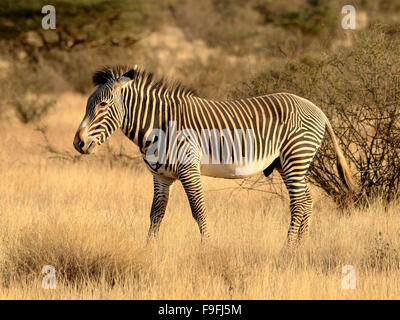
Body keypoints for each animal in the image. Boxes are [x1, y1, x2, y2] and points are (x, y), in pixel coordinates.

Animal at [72, 63, 354, 246]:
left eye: (103, 105)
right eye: (87, 104)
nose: (78, 143)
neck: (159, 124)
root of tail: (316, 108)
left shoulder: (188, 168)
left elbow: (198, 210)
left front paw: (207, 249)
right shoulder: (161, 176)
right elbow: (155, 215)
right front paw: (148, 250)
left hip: (296, 156)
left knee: (299, 203)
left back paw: (287, 249)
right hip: (286, 163)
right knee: (307, 200)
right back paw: (300, 248)